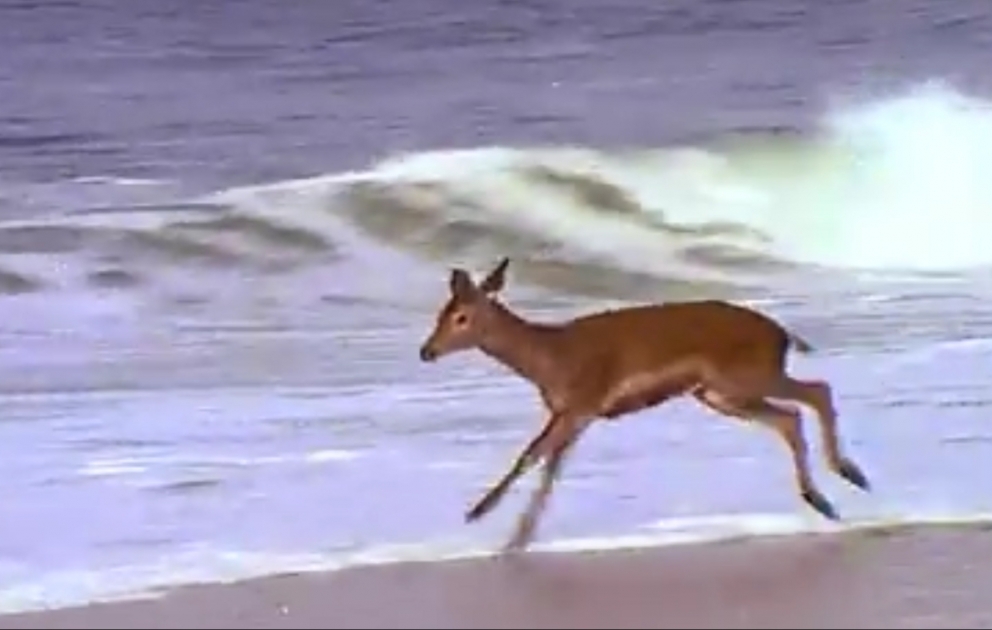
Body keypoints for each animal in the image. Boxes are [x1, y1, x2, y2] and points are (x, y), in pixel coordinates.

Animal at [418, 257, 871, 553]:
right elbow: (548, 467)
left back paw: (851, 476)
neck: (549, 357)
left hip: (745, 380)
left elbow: (531, 456)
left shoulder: (580, 406)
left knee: (817, 391)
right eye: (441, 311)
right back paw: (825, 500)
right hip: (720, 394)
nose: (427, 351)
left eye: (461, 316)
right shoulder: (573, 415)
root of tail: (784, 335)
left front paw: (483, 517)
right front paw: (513, 536)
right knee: (790, 417)